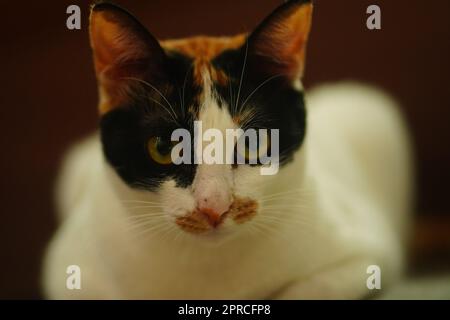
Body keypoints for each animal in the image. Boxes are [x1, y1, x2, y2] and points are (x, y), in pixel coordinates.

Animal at [41, 0, 412, 300]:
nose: (214, 207)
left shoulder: (367, 257)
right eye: (164, 146)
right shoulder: (67, 274)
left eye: (253, 143)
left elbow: (308, 289)